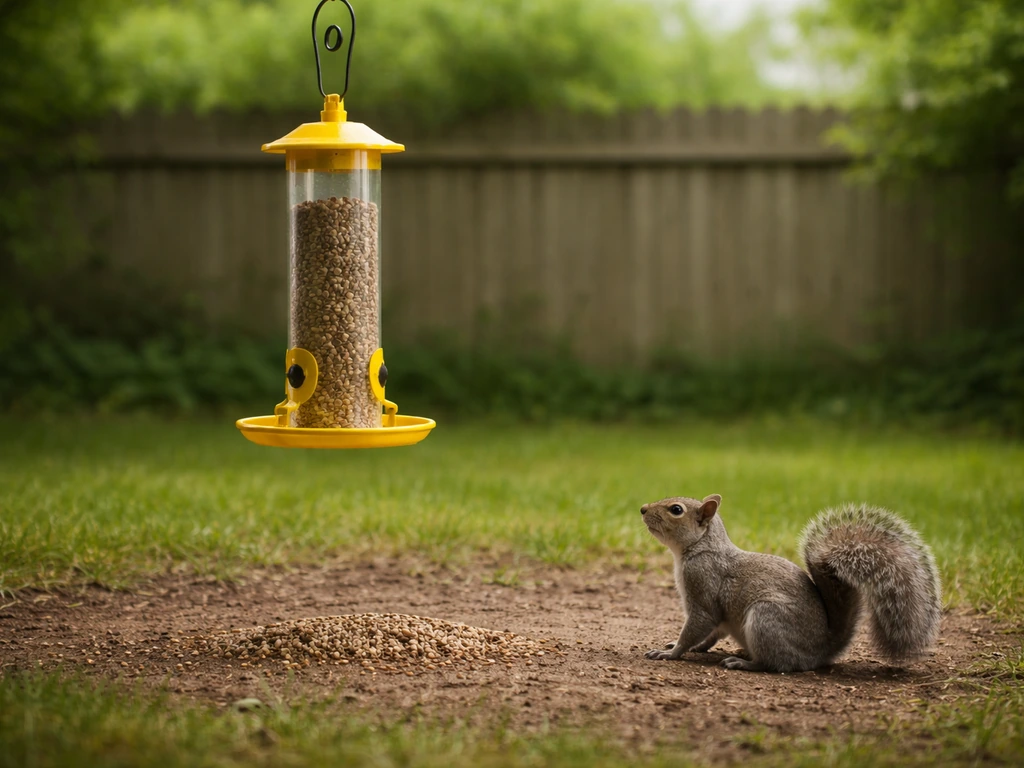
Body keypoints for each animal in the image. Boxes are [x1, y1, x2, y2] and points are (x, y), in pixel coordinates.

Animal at [639, 494, 941, 672]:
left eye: (676, 510)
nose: (642, 508)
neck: (699, 548)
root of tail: (822, 649)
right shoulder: (717, 617)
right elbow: (712, 633)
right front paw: (690, 647)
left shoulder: (703, 588)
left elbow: (699, 625)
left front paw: (671, 652)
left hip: (766, 618)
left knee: (777, 663)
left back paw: (743, 662)